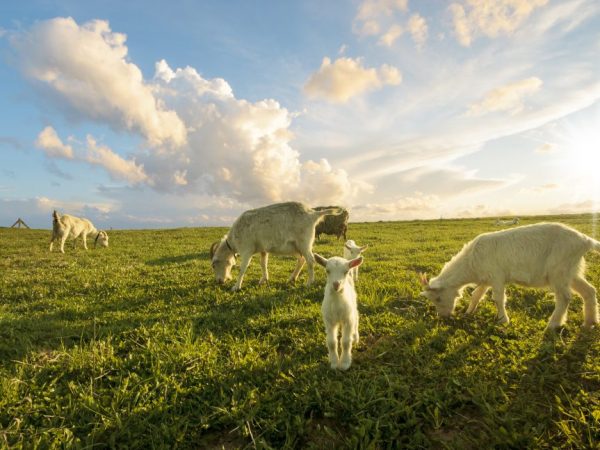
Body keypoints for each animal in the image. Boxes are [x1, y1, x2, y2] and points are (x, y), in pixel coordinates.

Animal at [211, 201, 342, 292]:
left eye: (214, 265)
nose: (219, 281)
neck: (235, 237)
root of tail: (313, 214)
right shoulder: (263, 250)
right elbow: (263, 263)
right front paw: (264, 279)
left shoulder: (247, 250)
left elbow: (243, 268)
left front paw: (236, 286)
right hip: (295, 246)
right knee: (301, 259)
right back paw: (292, 278)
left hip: (304, 243)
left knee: (310, 260)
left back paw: (309, 282)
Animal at [422, 222, 600, 330]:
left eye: (438, 298)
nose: (443, 317)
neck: (471, 261)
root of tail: (586, 241)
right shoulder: (486, 279)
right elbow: (476, 295)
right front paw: (468, 312)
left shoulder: (496, 276)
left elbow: (498, 299)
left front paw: (503, 320)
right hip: (572, 271)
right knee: (589, 291)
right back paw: (589, 323)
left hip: (559, 270)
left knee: (564, 297)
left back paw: (552, 325)